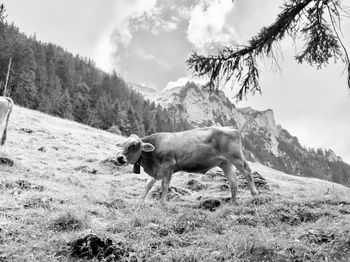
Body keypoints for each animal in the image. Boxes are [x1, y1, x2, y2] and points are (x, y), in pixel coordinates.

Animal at [116, 126, 258, 204]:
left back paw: (255, 194)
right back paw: (233, 203)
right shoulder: (158, 171)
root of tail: (231, 128)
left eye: (133, 145)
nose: (119, 157)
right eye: (122, 144)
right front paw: (139, 201)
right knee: (233, 182)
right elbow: (148, 184)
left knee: (248, 172)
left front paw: (161, 203)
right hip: (225, 163)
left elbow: (165, 185)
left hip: (236, 157)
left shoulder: (168, 166)